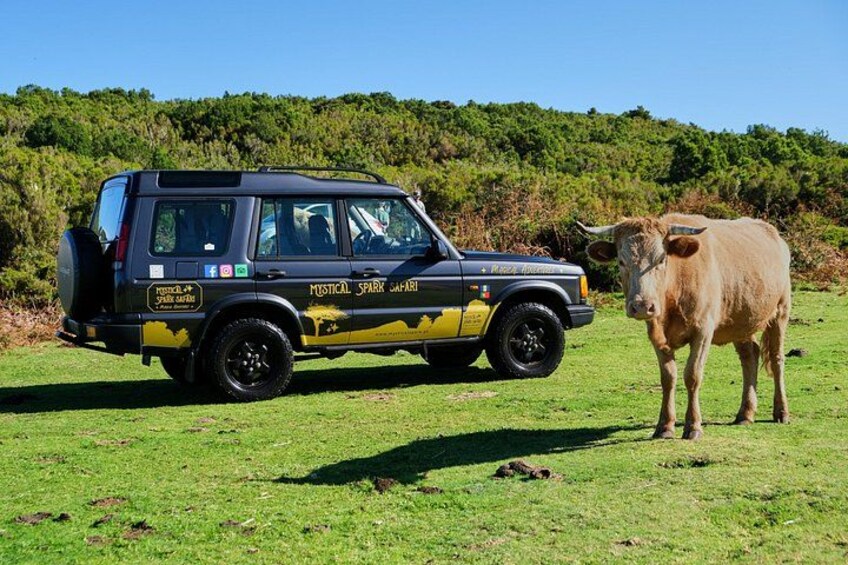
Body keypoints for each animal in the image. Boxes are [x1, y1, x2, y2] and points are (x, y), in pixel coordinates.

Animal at [578, 214, 791, 440]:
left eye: (661, 259)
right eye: (621, 261)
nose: (642, 306)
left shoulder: (703, 332)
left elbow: (692, 375)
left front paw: (693, 426)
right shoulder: (656, 336)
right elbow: (668, 377)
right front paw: (665, 426)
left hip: (781, 311)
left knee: (777, 358)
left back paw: (781, 411)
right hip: (741, 319)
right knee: (750, 355)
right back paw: (745, 413)